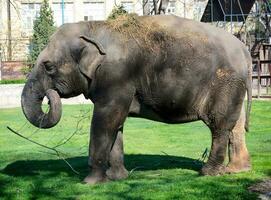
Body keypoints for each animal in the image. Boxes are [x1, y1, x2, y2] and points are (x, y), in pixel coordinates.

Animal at [21, 14, 253, 184]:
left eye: (49, 66)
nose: (50, 95)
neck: (93, 27)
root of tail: (245, 50)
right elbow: (116, 124)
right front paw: (117, 178)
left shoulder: (116, 76)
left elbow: (105, 120)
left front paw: (90, 182)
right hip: (235, 87)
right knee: (236, 125)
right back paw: (236, 170)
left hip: (225, 84)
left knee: (219, 125)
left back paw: (208, 173)